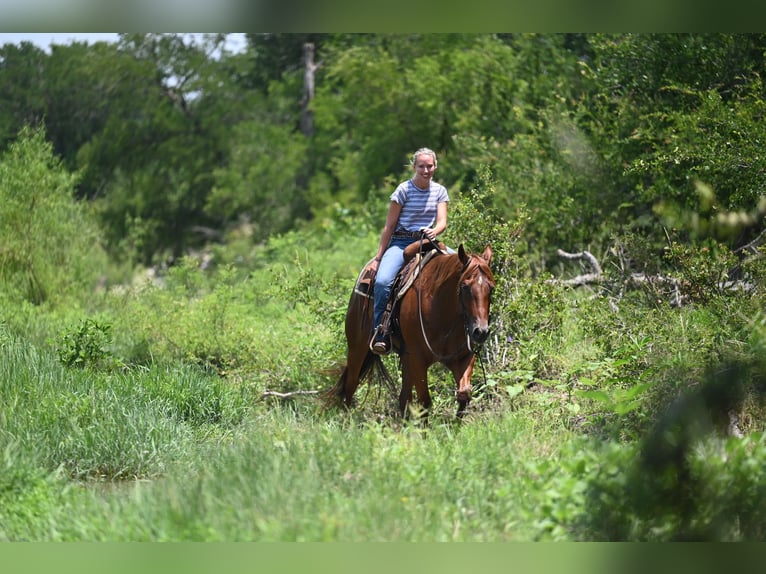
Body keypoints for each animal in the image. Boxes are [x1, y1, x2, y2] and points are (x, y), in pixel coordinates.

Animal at [329, 242, 495, 418]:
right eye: (464, 286)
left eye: (491, 288)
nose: (481, 332)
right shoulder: (418, 358)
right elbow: (425, 402)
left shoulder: (463, 357)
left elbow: (464, 395)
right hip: (358, 347)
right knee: (351, 385)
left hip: (405, 357)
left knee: (403, 398)